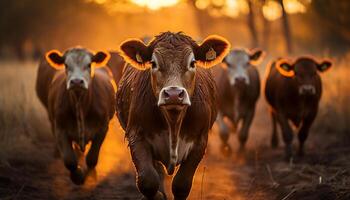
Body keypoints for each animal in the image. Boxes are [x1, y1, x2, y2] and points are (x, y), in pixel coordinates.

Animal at [35, 47, 115, 184]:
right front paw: (77, 176)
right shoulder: (60, 129)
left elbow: (92, 158)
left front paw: (91, 175)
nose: (77, 81)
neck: (80, 104)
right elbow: (69, 160)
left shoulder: (102, 128)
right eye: (66, 65)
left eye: (89, 64)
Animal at [116, 32, 231, 199]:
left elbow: (181, 185)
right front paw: (159, 195)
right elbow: (148, 181)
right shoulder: (136, 135)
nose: (174, 94)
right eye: (153, 63)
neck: (173, 121)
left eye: (192, 63)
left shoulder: (200, 141)